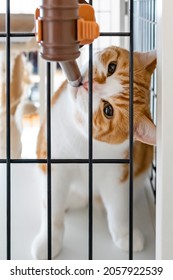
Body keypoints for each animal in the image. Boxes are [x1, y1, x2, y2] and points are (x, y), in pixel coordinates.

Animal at [31, 45, 157, 258]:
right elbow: (52, 209)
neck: (81, 141)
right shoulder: (53, 166)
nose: (88, 85)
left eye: (108, 110)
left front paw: (125, 235)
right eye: (111, 67)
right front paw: (49, 241)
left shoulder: (117, 176)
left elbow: (118, 209)